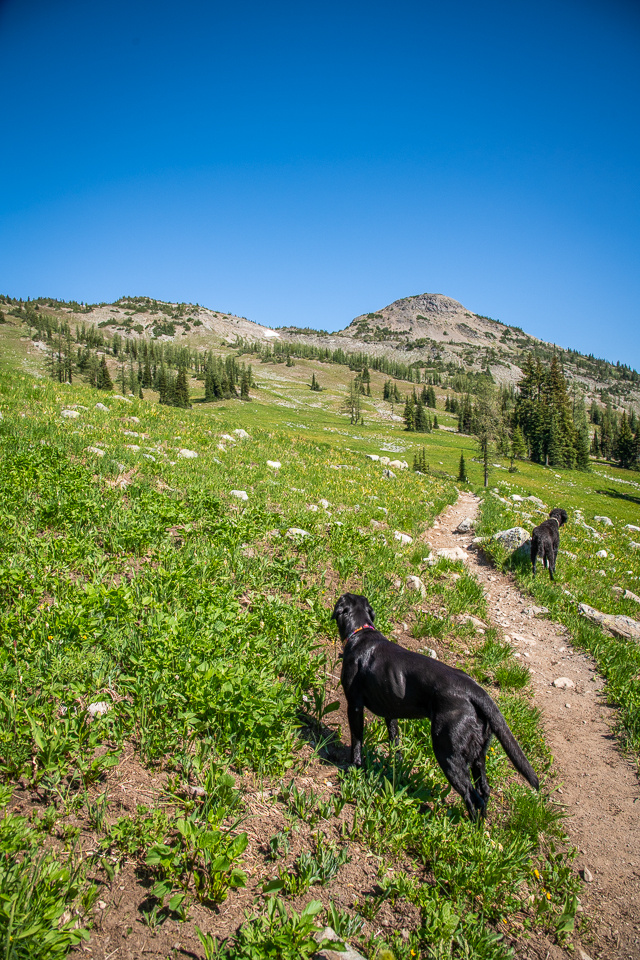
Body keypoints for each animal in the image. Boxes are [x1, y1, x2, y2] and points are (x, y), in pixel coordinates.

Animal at [332, 592, 539, 819]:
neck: (361, 632)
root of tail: (475, 690)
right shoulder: (391, 712)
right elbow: (395, 741)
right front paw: (395, 764)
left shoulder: (354, 705)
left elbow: (357, 741)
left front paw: (354, 767)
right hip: (478, 755)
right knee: (484, 791)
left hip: (447, 752)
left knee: (472, 797)